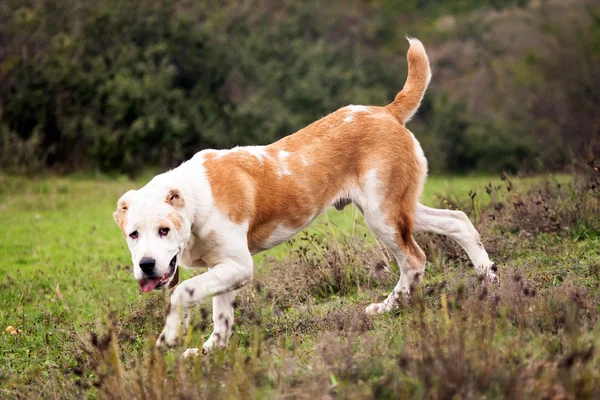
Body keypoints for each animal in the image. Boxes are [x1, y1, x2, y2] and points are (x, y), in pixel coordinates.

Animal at [113, 38, 496, 356]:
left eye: (164, 230)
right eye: (133, 235)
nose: (146, 265)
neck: (194, 200)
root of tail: (386, 111)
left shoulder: (239, 265)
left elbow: (183, 292)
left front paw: (170, 336)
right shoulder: (227, 268)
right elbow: (221, 319)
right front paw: (210, 352)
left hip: (383, 216)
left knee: (414, 261)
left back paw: (391, 307)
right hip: (400, 207)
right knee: (458, 221)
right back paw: (488, 280)